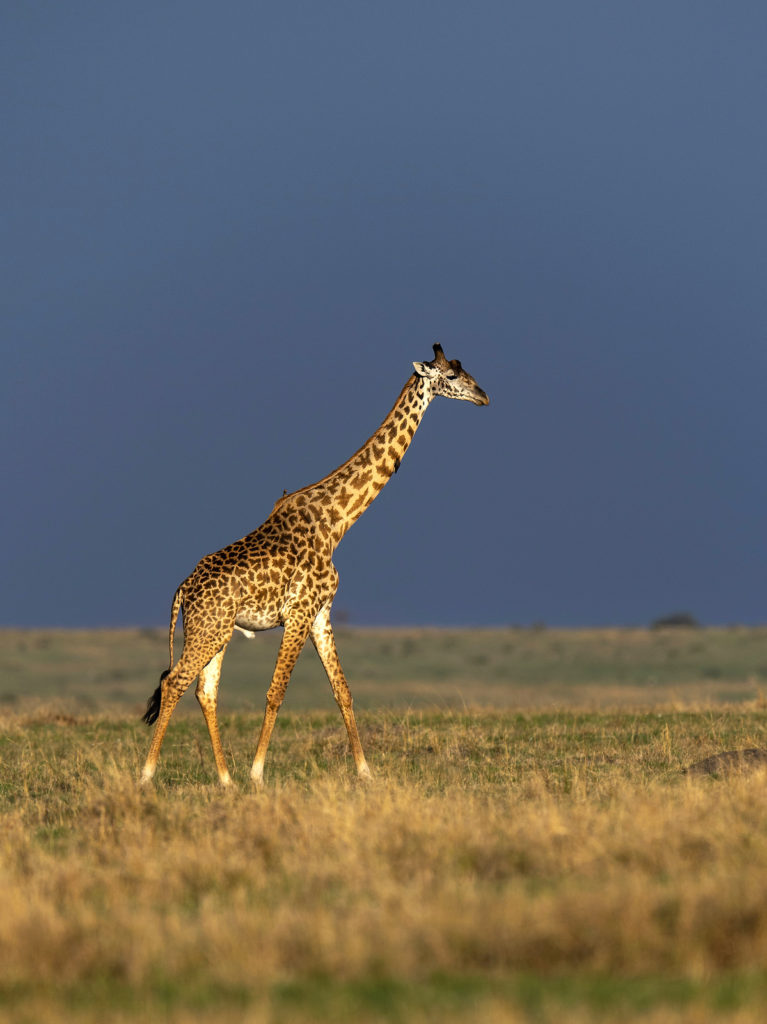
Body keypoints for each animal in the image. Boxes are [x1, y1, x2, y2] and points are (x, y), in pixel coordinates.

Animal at [140, 344, 487, 782]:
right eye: (452, 376)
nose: (483, 396)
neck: (338, 521)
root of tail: (182, 590)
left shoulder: (322, 611)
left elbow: (342, 690)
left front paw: (365, 772)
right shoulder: (299, 612)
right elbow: (276, 691)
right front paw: (257, 773)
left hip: (216, 631)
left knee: (205, 691)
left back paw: (224, 779)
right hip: (208, 629)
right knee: (175, 682)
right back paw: (148, 774)